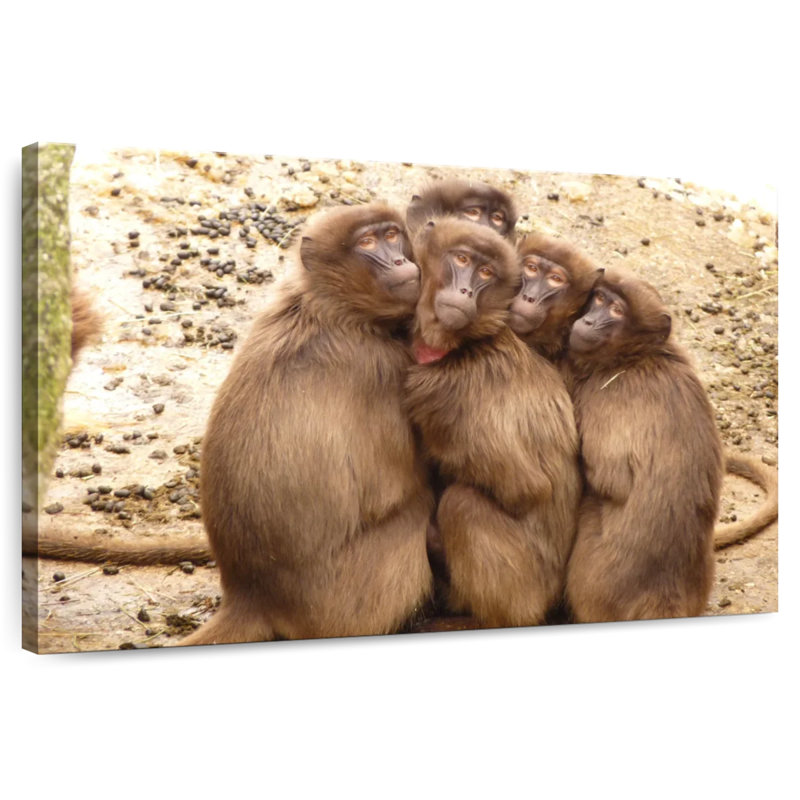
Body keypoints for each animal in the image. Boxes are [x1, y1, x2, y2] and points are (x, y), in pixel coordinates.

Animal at [175, 202, 433, 646]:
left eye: (392, 235)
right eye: (368, 242)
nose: (401, 261)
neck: (330, 309)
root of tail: (251, 594)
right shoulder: (381, 367)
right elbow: (401, 486)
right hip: (345, 603)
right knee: (420, 512)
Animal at [404, 217, 581, 628]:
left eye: (485, 273)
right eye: (462, 259)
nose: (465, 290)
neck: (465, 344)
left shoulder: (450, 394)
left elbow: (524, 489)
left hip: (527, 590)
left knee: (463, 504)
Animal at [564, 268, 726, 623]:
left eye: (616, 310)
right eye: (599, 298)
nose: (589, 320)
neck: (637, 357)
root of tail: (662, 594)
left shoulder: (606, 395)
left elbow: (610, 480)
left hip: (596, 580)